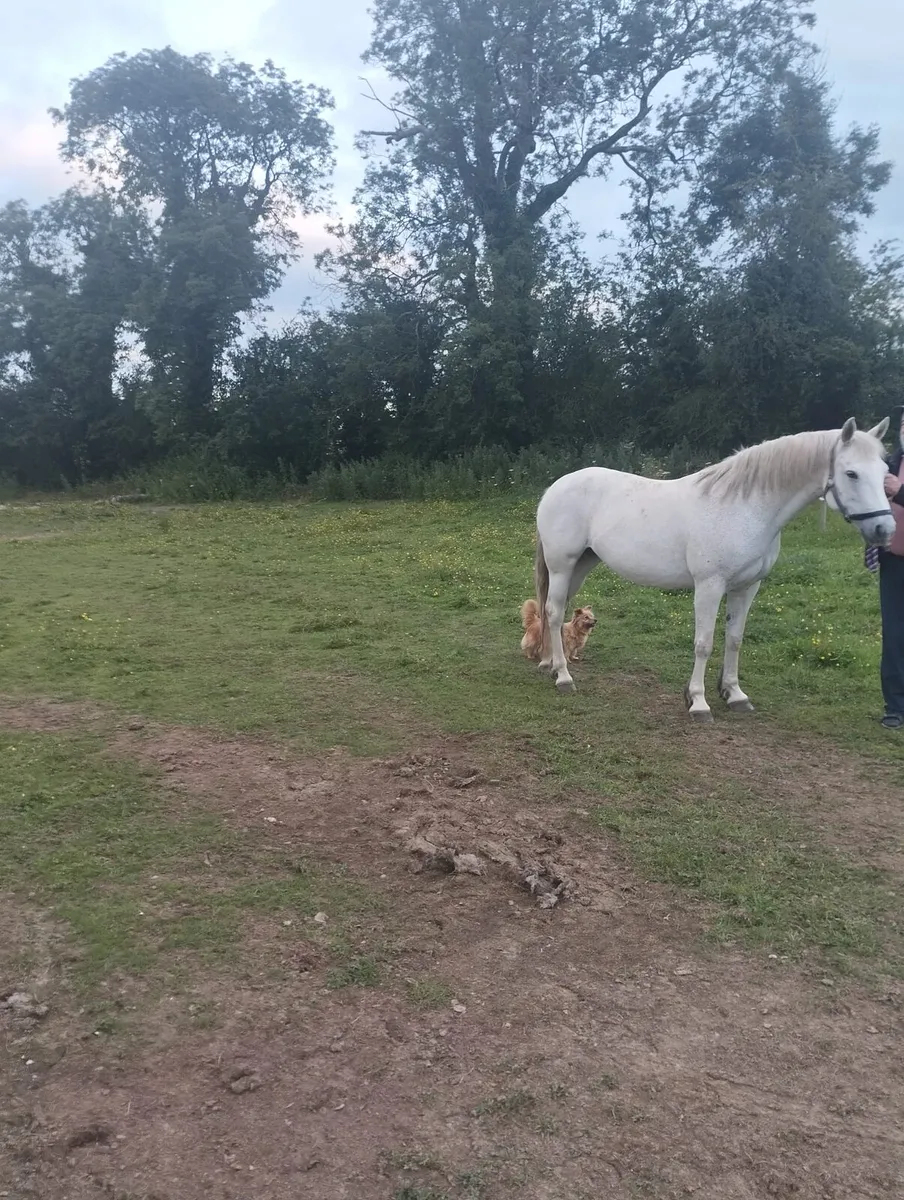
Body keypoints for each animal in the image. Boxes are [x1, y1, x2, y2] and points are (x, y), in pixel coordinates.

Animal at [532, 418, 895, 722]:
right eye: (851, 473)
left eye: (884, 472)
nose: (884, 529)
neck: (745, 508)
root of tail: (555, 487)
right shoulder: (709, 586)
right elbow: (704, 643)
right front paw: (698, 702)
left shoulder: (747, 587)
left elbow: (734, 639)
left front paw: (734, 694)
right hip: (563, 564)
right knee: (553, 612)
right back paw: (563, 676)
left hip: (582, 564)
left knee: (556, 609)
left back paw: (548, 662)